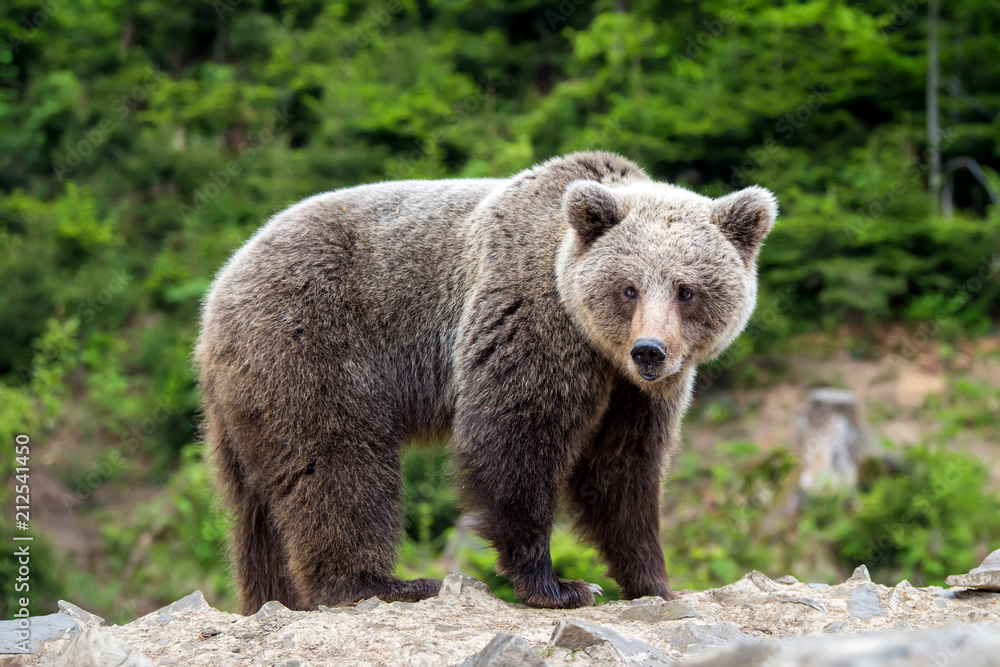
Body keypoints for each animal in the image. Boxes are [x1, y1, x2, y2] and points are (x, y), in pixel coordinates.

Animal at [195, 151, 777, 614]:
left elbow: (622, 473)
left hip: (241, 399)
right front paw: (560, 585)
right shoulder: (530, 320)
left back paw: (273, 598)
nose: (650, 351)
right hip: (314, 343)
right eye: (629, 287)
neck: (598, 349)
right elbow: (515, 442)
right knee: (337, 463)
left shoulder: (633, 395)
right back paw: (382, 584)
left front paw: (653, 582)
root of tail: (221, 283)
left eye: (686, 289)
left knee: (256, 510)